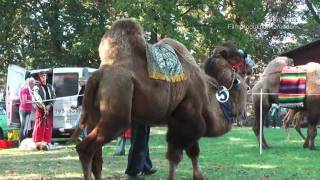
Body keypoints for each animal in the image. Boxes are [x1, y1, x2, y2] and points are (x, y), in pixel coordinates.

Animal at [74, 18, 248, 180]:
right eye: (237, 57)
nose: (248, 61)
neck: (210, 92)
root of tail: (97, 75)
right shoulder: (189, 117)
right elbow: (180, 154)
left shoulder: (179, 121)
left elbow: (186, 153)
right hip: (117, 110)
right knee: (85, 149)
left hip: (95, 115)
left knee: (97, 158)